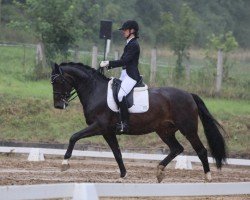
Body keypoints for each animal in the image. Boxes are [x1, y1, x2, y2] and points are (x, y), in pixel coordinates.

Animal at [50, 62, 227, 183]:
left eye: (59, 81)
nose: (58, 105)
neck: (95, 91)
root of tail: (189, 95)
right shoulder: (108, 132)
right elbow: (117, 153)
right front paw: (123, 175)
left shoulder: (99, 126)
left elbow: (74, 137)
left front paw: (64, 163)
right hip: (164, 130)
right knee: (177, 148)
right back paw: (160, 171)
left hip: (187, 129)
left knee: (201, 150)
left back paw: (208, 177)